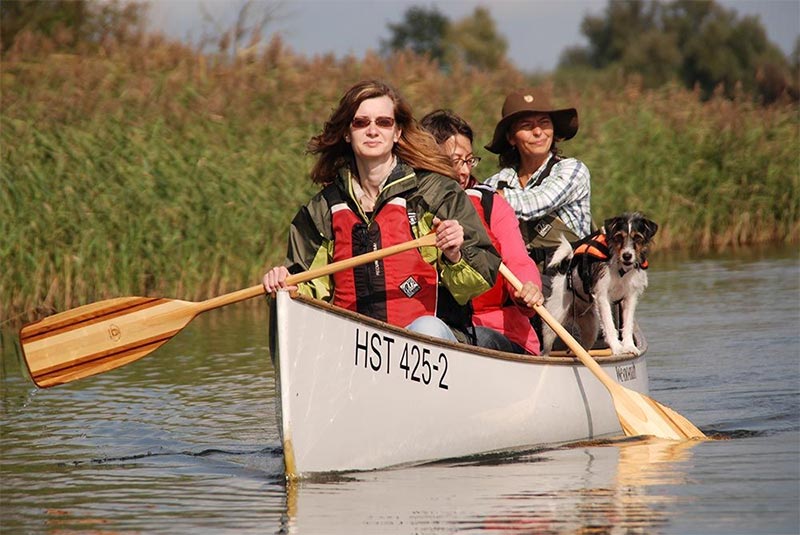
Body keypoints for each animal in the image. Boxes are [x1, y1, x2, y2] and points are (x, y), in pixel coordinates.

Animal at [540, 213, 660, 356]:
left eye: (637, 237)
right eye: (619, 237)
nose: (627, 256)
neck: (621, 269)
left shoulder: (630, 297)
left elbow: (628, 324)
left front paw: (629, 346)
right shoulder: (602, 296)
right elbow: (609, 324)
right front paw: (617, 348)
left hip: (590, 328)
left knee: (583, 348)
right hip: (554, 321)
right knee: (546, 347)